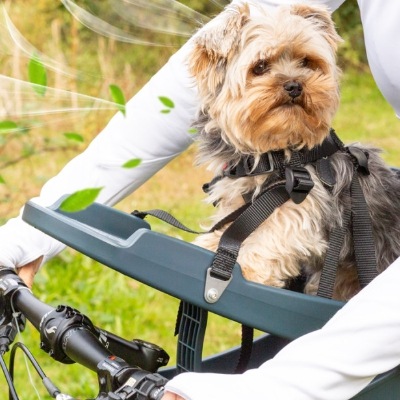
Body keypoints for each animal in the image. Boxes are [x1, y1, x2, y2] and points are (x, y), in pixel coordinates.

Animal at [188, 0, 400, 300]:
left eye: (307, 62)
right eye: (260, 66)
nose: (294, 84)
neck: (274, 153)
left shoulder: (304, 200)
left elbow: (274, 232)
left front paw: (246, 264)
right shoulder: (240, 197)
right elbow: (236, 223)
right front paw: (211, 241)